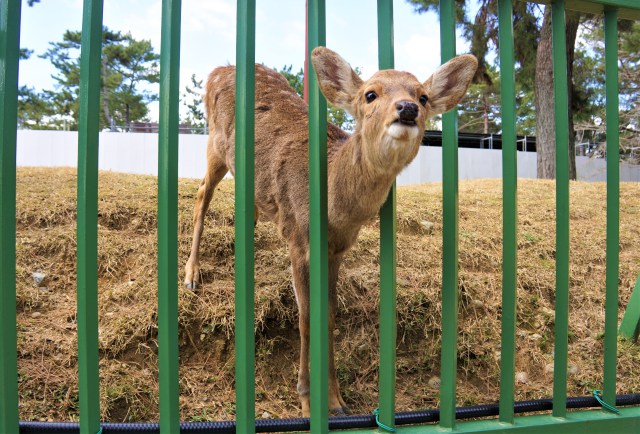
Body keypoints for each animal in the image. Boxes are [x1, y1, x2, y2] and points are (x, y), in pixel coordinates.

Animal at [182, 47, 478, 418]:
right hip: (216, 143)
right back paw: (191, 275)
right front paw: (308, 400)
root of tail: (216, 71)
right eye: (370, 94)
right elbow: (307, 317)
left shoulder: (337, 250)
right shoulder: (298, 236)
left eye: (422, 97)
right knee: (200, 194)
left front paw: (337, 401)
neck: (336, 207)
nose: (407, 108)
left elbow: (331, 315)